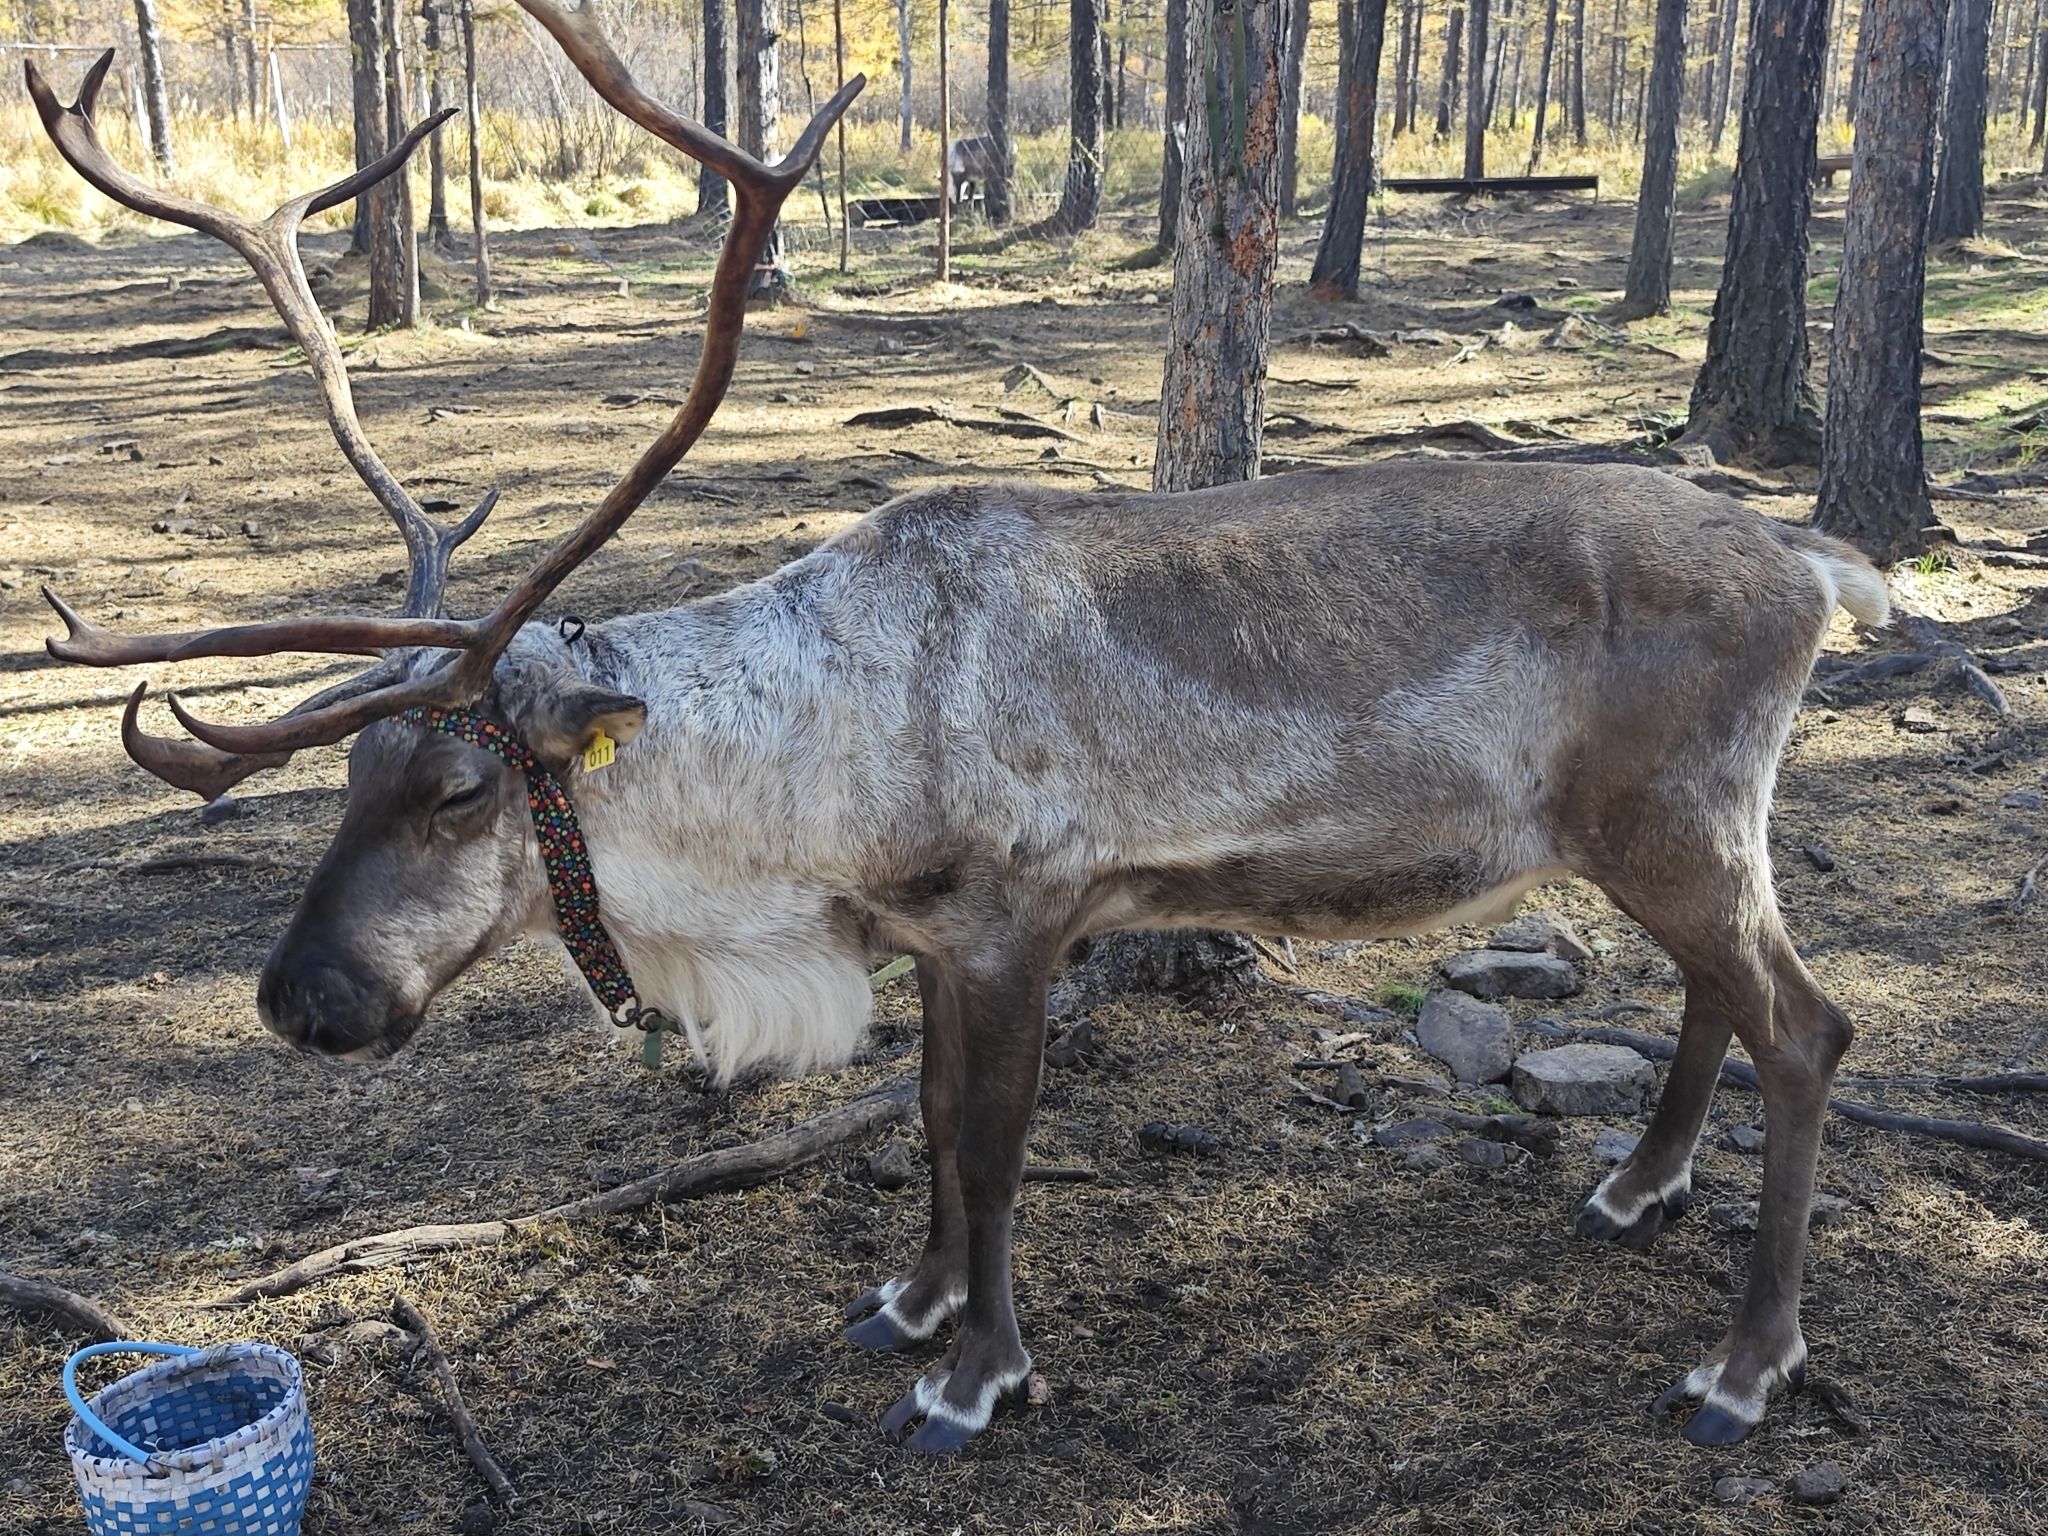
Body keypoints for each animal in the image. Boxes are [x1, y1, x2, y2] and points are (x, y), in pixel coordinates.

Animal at [27, 3, 1890, 1457]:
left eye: (458, 780)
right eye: (347, 770)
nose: (298, 998)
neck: (807, 784)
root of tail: (1810, 562)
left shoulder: (1017, 917)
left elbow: (988, 1150)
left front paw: (976, 1374)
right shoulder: (925, 935)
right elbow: (923, 1125)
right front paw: (911, 1305)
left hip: (1674, 821)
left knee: (1808, 1027)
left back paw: (1743, 1364)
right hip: (1667, 834)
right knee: (1724, 1000)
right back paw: (1637, 1189)